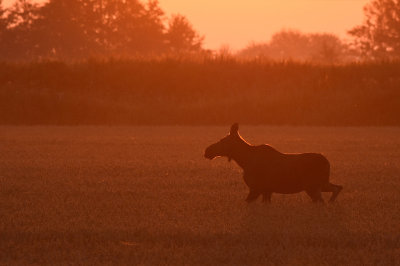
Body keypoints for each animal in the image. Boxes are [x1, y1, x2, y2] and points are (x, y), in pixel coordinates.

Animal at [205, 123, 342, 203]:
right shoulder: (267, 190)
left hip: (312, 186)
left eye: (222, 140)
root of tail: (327, 163)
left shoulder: (256, 188)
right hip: (321, 184)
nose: (207, 150)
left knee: (323, 200)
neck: (244, 160)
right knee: (338, 187)